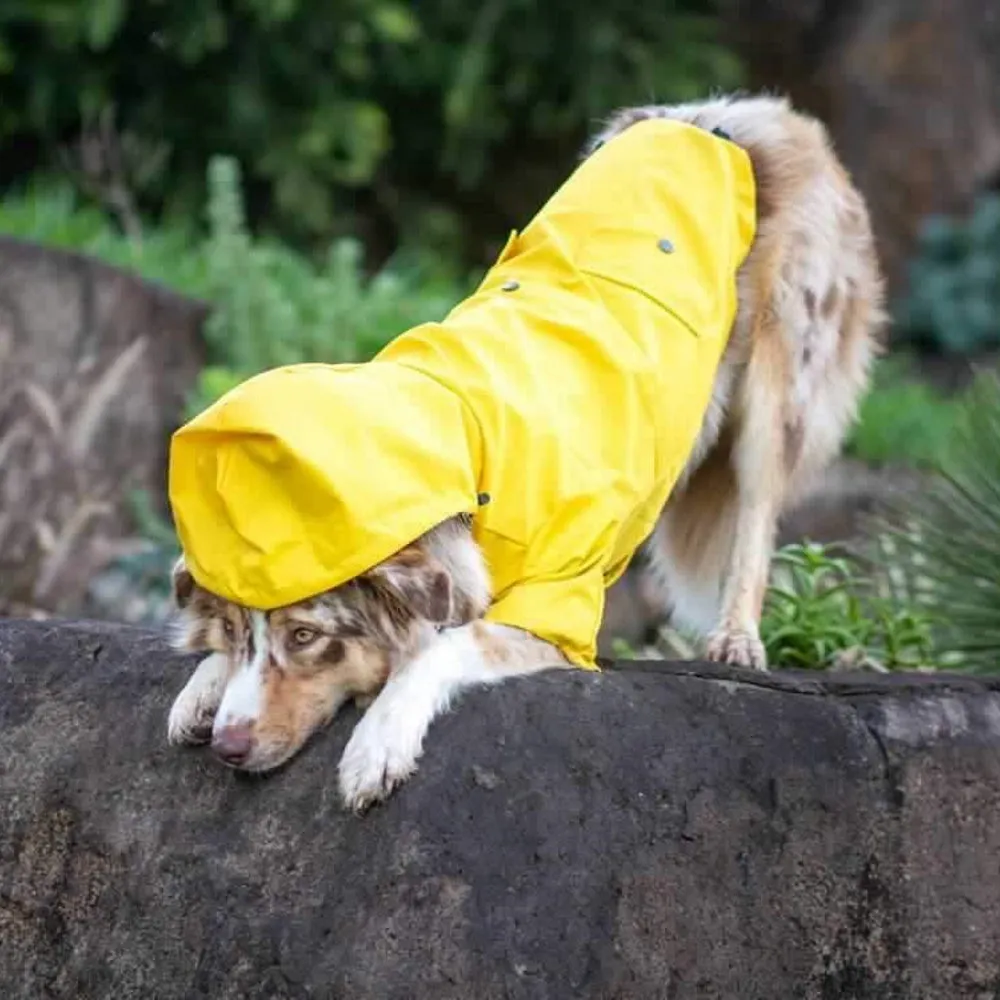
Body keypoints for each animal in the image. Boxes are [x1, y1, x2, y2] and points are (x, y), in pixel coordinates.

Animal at [164, 95, 884, 812]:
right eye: (238, 631)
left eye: (306, 636)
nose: (228, 748)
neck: (463, 454)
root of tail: (744, 112)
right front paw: (204, 684)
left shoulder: (553, 607)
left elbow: (447, 644)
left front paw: (377, 745)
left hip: (782, 374)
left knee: (756, 511)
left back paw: (736, 638)